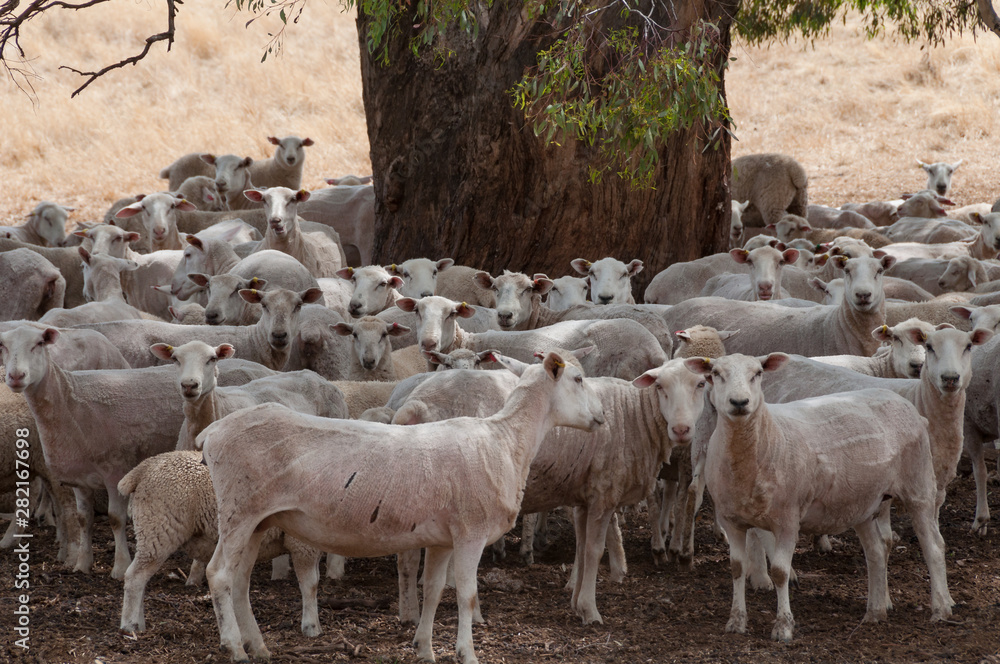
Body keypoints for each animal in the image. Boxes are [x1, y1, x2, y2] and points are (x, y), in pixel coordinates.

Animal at [0, 325, 276, 579]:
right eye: (3, 347)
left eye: (38, 344)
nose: (15, 376)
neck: (70, 402)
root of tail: (267, 370)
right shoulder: (80, 478)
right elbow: (83, 518)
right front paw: (82, 564)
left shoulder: (115, 470)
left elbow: (115, 519)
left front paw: (120, 567)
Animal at [118, 451, 323, 635]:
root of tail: (143, 468)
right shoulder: (303, 545)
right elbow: (310, 584)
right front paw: (311, 627)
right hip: (158, 529)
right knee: (134, 577)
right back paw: (129, 626)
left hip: (153, 531)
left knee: (141, 578)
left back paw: (139, 624)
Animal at [200, 351, 606, 664]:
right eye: (579, 378)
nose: (602, 416)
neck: (507, 440)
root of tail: (211, 433)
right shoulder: (470, 532)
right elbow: (467, 594)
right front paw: (467, 653)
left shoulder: (442, 538)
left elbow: (435, 590)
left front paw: (424, 648)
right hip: (237, 511)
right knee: (218, 574)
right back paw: (235, 648)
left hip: (256, 519)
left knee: (240, 579)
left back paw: (258, 645)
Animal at [684, 353, 951, 642]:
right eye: (716, 374)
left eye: (757, 373)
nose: (739, 402)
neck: (766, 438)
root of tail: (908, 407)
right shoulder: (731, 520)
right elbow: (737, 568)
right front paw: (736, 621)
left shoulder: (787, 519)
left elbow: (780, 572)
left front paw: (784, 626)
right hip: (864, 503)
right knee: (877, 552)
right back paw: (875, 612)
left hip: (919, 486)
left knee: (934, 546)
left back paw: (941, 609)